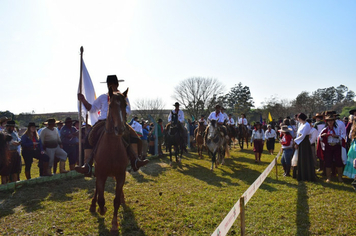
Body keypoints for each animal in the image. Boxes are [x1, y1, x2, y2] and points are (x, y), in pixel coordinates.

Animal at [89, 86, 129, 232]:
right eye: (110, 105)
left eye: (125, 105)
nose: (120, 129)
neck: (111, 148)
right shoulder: (101, 174)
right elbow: (101, 198)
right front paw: (102, 209)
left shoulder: (121, 174)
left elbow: (116, 200)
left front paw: (114, 224)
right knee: (96, 188)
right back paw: (93, 206)